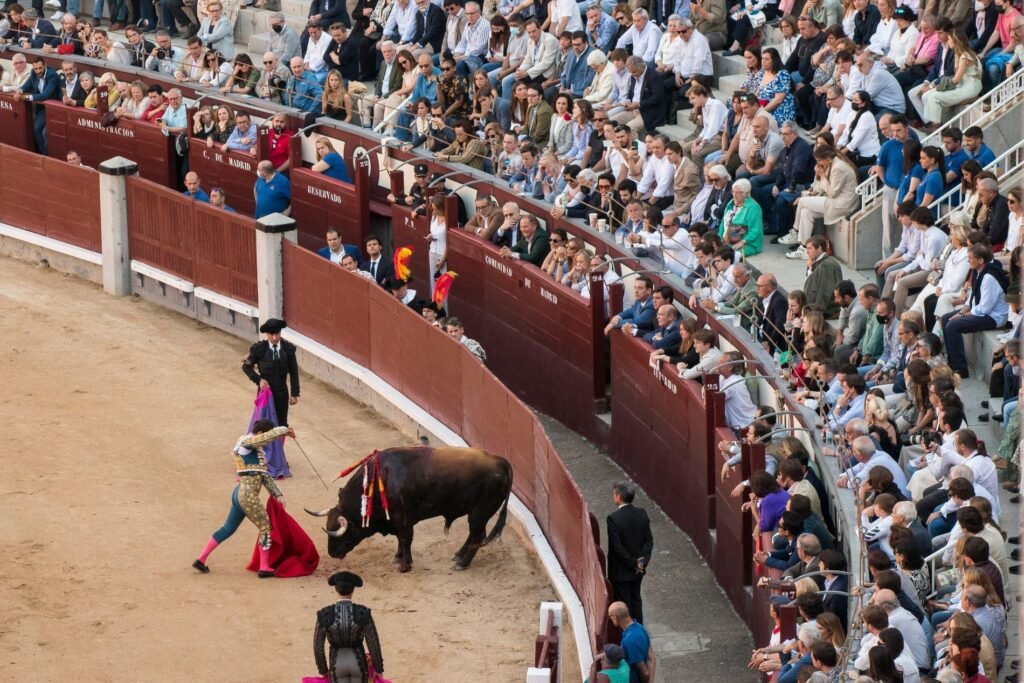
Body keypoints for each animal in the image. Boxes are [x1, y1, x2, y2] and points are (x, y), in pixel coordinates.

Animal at [303, 446, 512, 573]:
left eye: (341, 534)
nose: (332, 553)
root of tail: (499, 461)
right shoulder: (395, 520)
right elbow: (400, 539)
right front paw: (398, 558)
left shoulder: (402, 519)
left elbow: (405, 539)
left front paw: (405, 565)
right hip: (477, 513)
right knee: (474, 535)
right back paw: (458, 555)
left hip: (479, 512)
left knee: (478, 535)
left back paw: (462, 563)